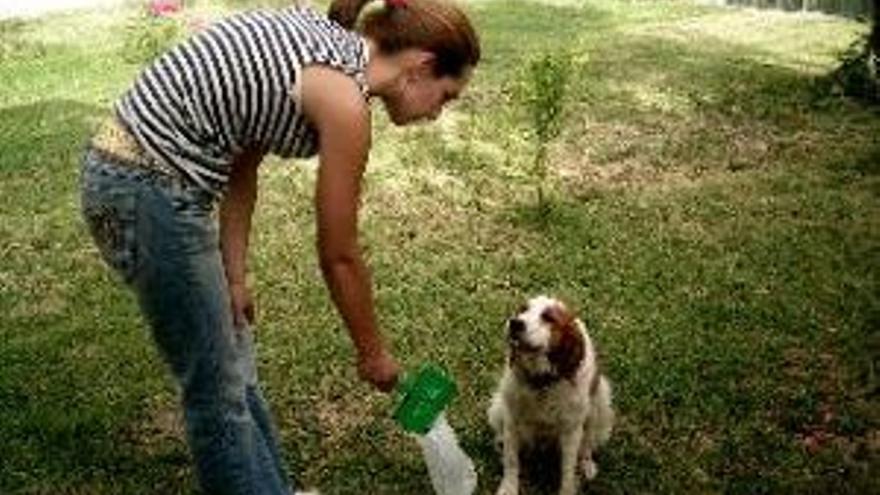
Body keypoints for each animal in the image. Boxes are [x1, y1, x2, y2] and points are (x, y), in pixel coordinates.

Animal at [484, 296, 616, 494]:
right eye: (523, 309)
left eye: (549, 318)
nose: (515, 323)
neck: (542, 381)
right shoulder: (512, 419)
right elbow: (512, 460)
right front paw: (509, 488)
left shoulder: (571, 429)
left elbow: (568, 469)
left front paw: (568, 489)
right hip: (498, 407)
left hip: (598, 404)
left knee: (587, 445)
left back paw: (587, 465)